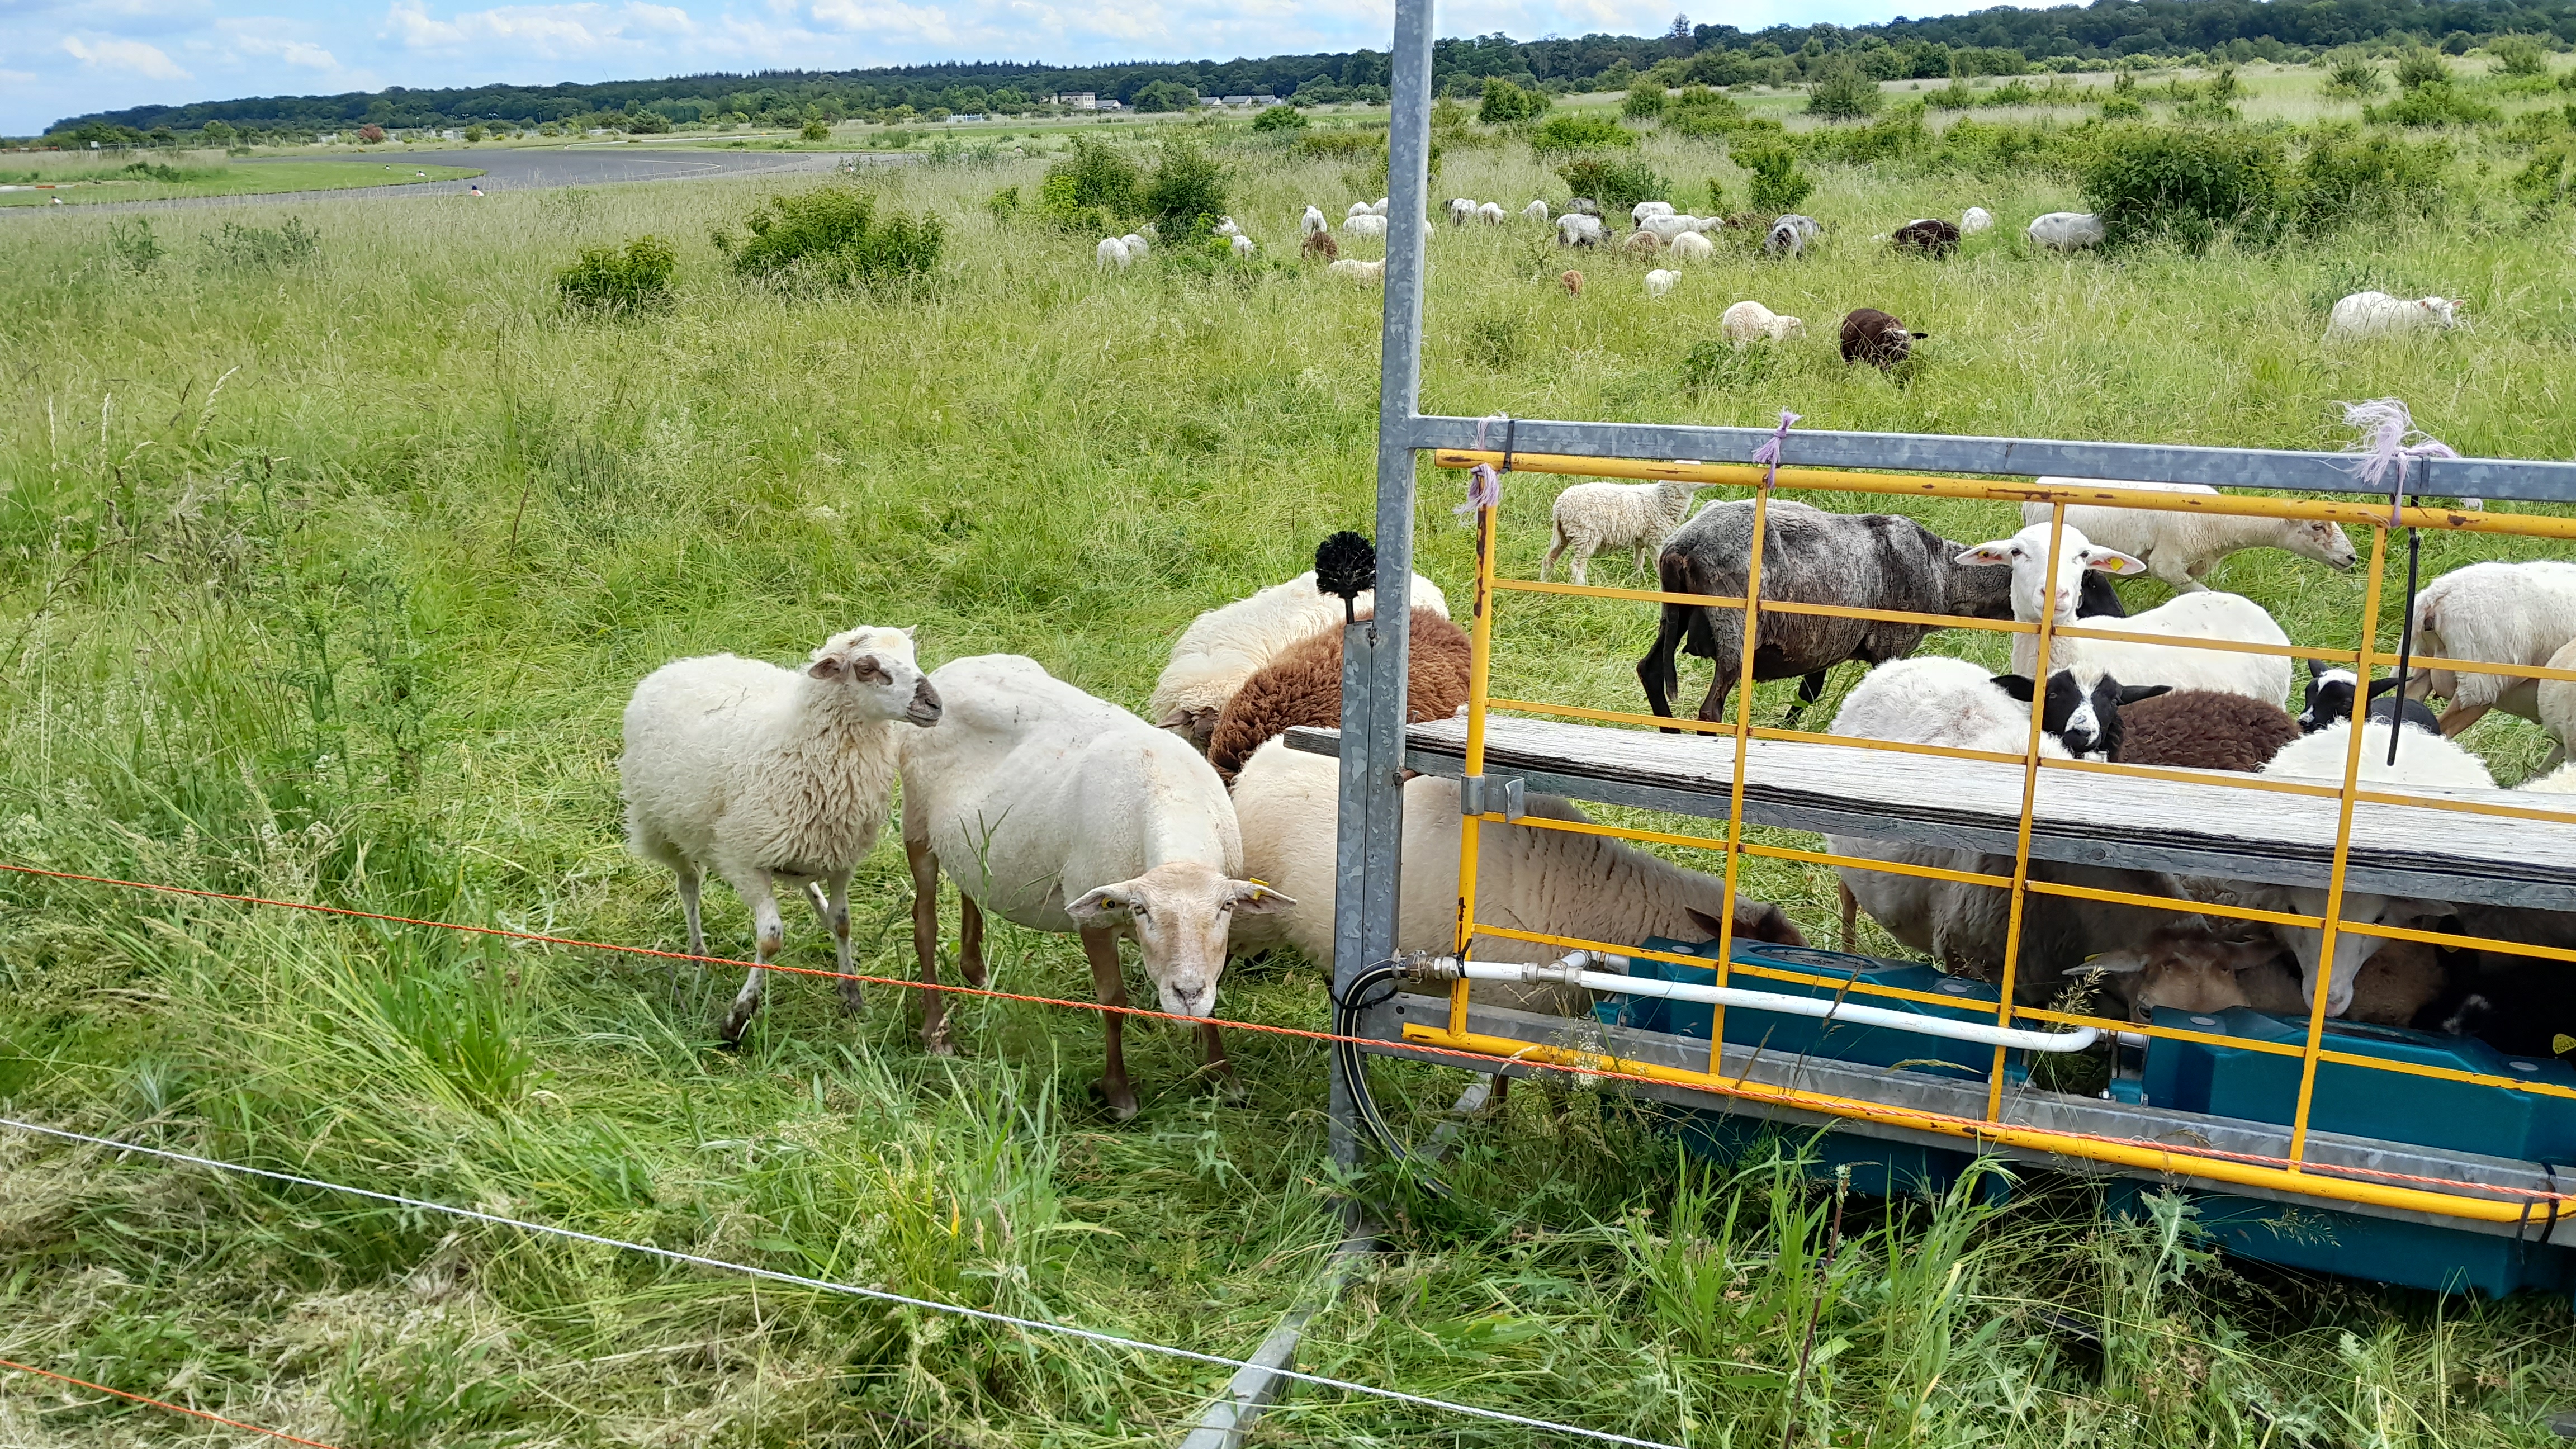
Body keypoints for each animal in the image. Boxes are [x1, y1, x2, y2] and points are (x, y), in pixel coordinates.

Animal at [620, 626, 944, 1044]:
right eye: (867, 668)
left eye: (913, 655)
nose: (935, 705)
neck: (801, 743)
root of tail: (682, 664)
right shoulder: (743, 860)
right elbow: (770, 938)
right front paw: (738, 1016)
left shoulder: (842, 858)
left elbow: (843, 922)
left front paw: (852, 993)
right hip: (661, 826)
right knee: (689, 885)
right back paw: (698, 953)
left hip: (804, 848)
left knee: (808, 888)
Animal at [1544, 479, 1704, 587]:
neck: (1660, 499)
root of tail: (1559, 506)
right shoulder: (1656, 538)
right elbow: (1658, 564)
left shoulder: (1641, 538)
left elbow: (1639, 561)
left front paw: (1637, 581)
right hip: (1585, 534)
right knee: (1577, 566)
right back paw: (1581, 586)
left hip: (1562, 535)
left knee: (1549, 559)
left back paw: (1545, 581)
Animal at [1638, 498, 2115, 728]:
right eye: (2092, 578)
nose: (2118, 618)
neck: (1945, 573)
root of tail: (1683, 545)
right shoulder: (1892, 643)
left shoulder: (1826, 641)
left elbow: (1808, 693)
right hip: (1733, 624)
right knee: (1710, 707)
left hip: (1674, 613)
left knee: (1649, 669)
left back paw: (1668, 732)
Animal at [1720, 299, 1806, 345]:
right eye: (1799, 329)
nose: (1805, 338)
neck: (1781, 326)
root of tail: (1734, 317)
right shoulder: (1774, 339)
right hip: (1742, 336)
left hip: (1727, 335)